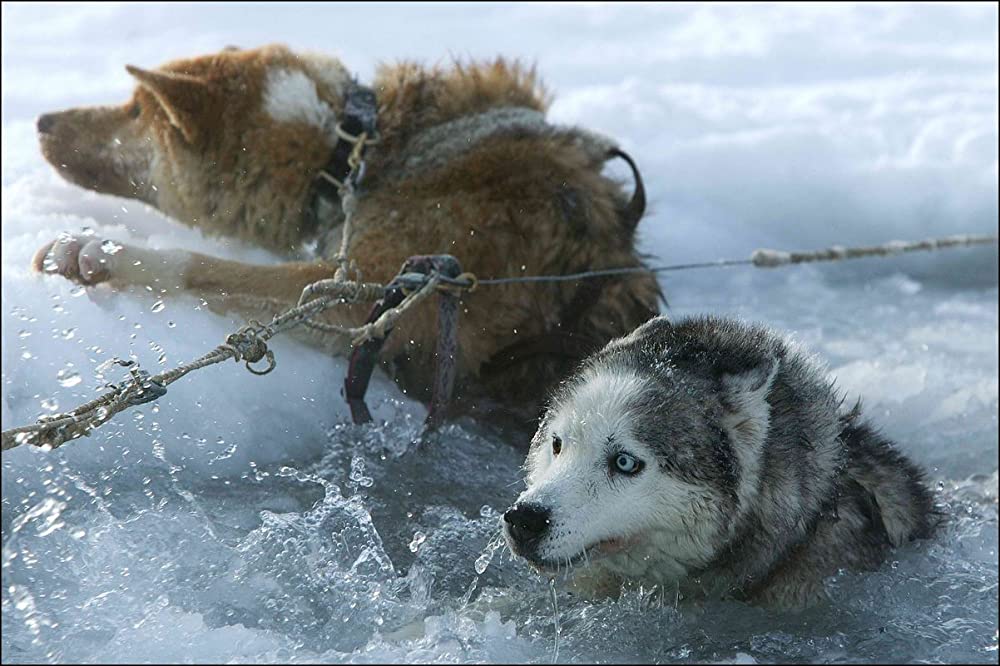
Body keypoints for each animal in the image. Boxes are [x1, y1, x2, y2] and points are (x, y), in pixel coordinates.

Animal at [31, 42, 660, 436]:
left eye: (136, 109)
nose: (38, 120)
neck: (357, 150)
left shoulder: (377, 291)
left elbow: (207, 267)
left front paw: (101, 253)